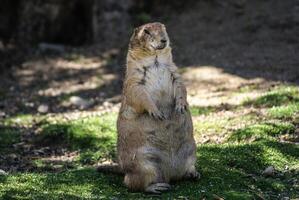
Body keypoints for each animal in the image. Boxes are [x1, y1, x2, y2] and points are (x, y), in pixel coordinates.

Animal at [99, 21, 200, 194]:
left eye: (164, 27)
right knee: (132, 183)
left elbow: (181, 86)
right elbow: (139, 95)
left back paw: (193, 173)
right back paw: (156, 187)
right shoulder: (134, 79)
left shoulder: (174, 71)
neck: (155, 59)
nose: (164, 39)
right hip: (143, 165)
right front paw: (157, 112)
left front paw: (181, 106)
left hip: (191, 151)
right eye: (146, 31)